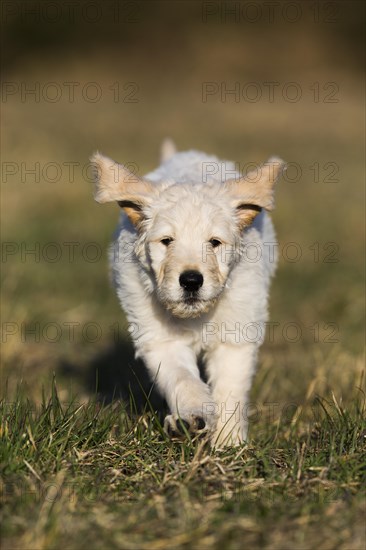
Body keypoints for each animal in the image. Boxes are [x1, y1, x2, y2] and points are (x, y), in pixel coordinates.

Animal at [91, 142, 286, 448]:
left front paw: (228, 442)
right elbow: (182, 378)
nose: (191, 281)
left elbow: (230, 389)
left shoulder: (236, 336)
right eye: (166, 241)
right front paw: (192, 418)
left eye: (215, 242)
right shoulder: (161, 339)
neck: (196, 316)